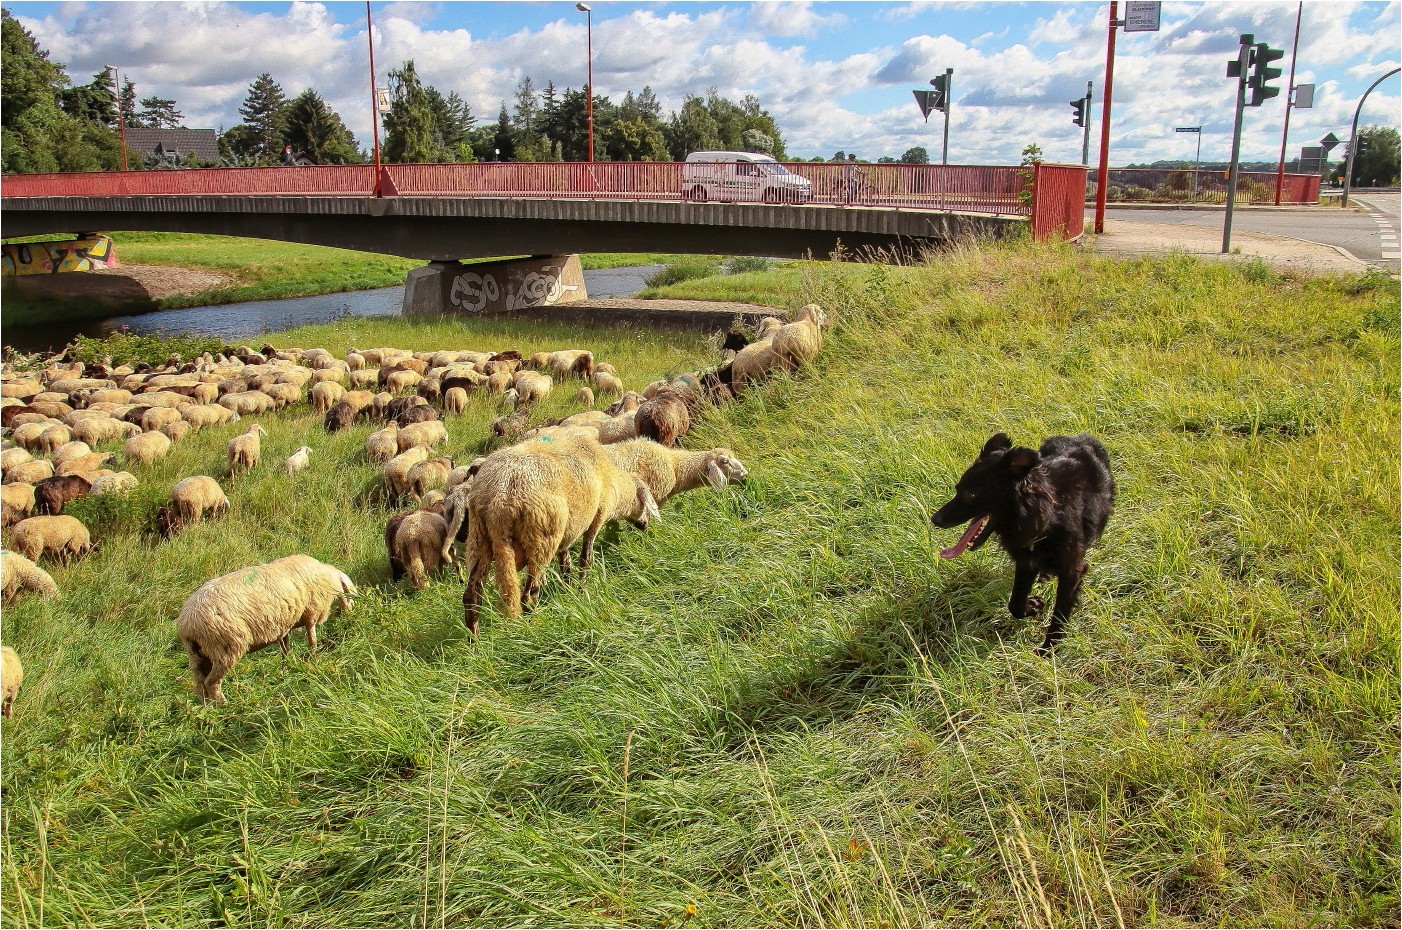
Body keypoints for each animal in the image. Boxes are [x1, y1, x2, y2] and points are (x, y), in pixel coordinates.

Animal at [175, 552, 358, 706]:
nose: (352, 617)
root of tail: (188, 622)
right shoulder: (311, 613)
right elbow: (312, 640)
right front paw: (314, 659)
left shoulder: (284, 626)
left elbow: (285, 650)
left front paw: (285, 670)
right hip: (225, 648)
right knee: (211, 682)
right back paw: (224, 705)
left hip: (198, 654)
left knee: (200, 682)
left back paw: (206, 707)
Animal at [459, 434, 656, 636]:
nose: (645, 525)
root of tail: (499, 497)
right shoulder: (596, 520)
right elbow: (585, 560)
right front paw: (582, 592)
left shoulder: (566, 536)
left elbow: (566, 564)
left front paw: (568, 590)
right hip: (542, 540)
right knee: (528, 596)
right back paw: (532, 628)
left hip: (478, 538)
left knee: (472, 597)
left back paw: (475, 642)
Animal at [930, 432, 1115, 653]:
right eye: (957, 489)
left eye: (971, 494)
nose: (935, 519)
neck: (1046, 517)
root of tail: (1080, 436)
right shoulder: (1027, 560)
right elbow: (1015, 604)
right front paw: (1033, 606)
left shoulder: (1072, 570)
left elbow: (1059, 614)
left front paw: (1047, 651)